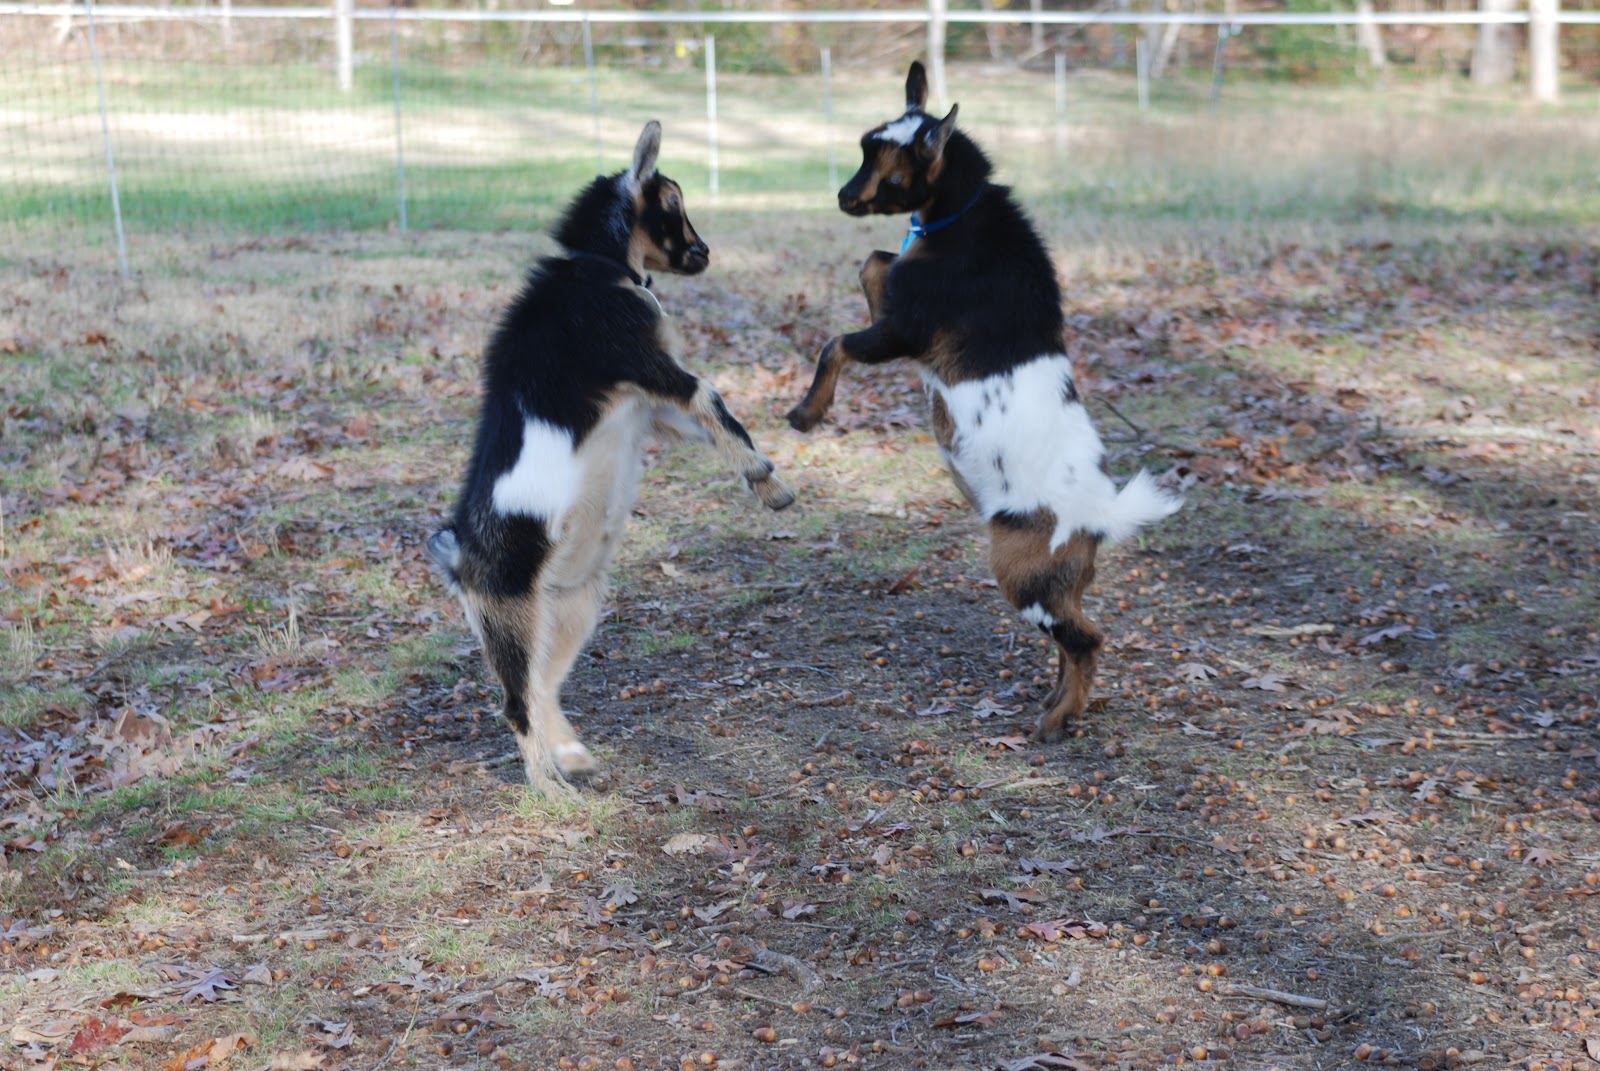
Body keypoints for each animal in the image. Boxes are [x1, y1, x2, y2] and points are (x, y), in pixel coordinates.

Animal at [428, 121, 795, 796]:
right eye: (672, 199)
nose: (704, 253)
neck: (597, 269)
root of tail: (457, 553)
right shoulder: (639, 359)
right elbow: (711, 396)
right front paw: (768, 482)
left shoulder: (649, 408)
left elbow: (706, 420)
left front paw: (763, 478)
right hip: (510, 613)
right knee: (516, 700)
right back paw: (550, 790)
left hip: (569, 606)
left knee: (543, 684)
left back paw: (570, 755)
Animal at [787, 63, 1180, 742]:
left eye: (881, 157)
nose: (841, 196)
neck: (958, 217)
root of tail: (1102, 516)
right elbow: (876, 261)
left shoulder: (904, 331)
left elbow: (843, 329)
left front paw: (807, 414)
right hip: (1056, 584)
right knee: (1074, 637)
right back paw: (1054, 703)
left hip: (1021, 573)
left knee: (1086, 640)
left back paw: (1056, 721)